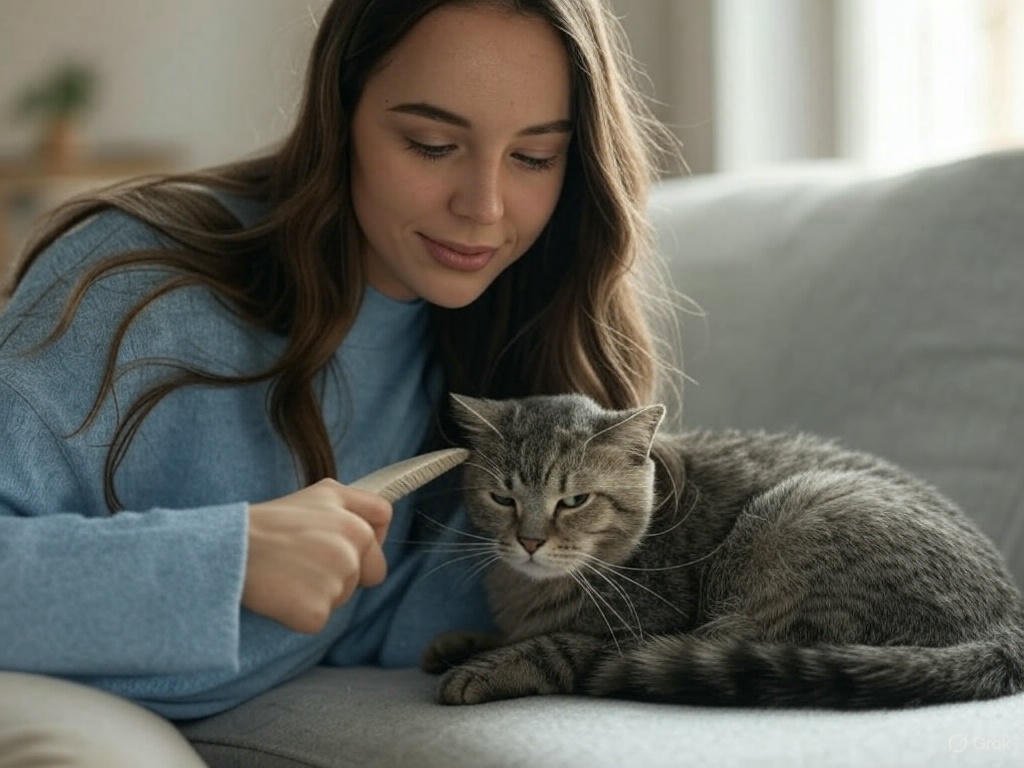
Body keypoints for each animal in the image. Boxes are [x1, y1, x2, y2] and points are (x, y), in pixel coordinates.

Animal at [421, 393, 1024, 712]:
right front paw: (464, 642)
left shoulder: (639, 630)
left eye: (574, 500)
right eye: (502, 497)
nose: (529, 540)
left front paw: (486, 667)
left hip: (797, 532)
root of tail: (1008, 627)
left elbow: (556, 645)